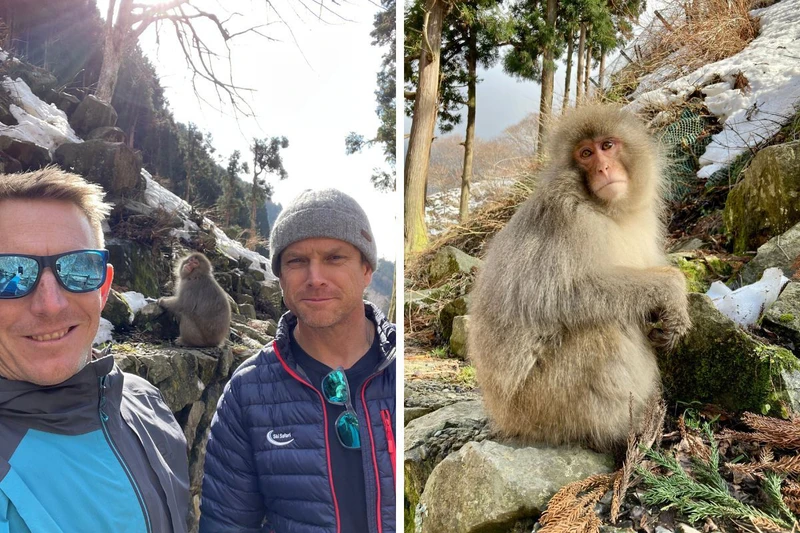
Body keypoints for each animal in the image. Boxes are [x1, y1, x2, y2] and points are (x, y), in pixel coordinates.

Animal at [467, 105, 691, 454]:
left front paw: (671, 318)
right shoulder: (570, 216)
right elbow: (561, 295)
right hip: (543, 402)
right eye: (585, 154)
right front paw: (671, 288)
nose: (603, 168)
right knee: (603, 330)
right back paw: (625, 430)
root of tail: (502, 415)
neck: (608, 211)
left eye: (607, 146)